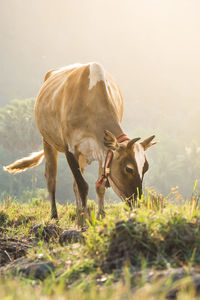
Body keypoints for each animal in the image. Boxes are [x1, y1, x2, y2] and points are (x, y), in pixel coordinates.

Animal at [2, 62, 156, 221]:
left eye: (146, 168)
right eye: (128, 168)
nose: (136, 202)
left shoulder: (103, 152)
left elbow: (98, 187)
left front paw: (98, 216)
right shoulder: (70, 149)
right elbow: (82, 186)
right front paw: (83, 219)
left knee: (74, 184)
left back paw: (77, 210)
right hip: (48, 141)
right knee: (51, 179)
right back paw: (55, 215)